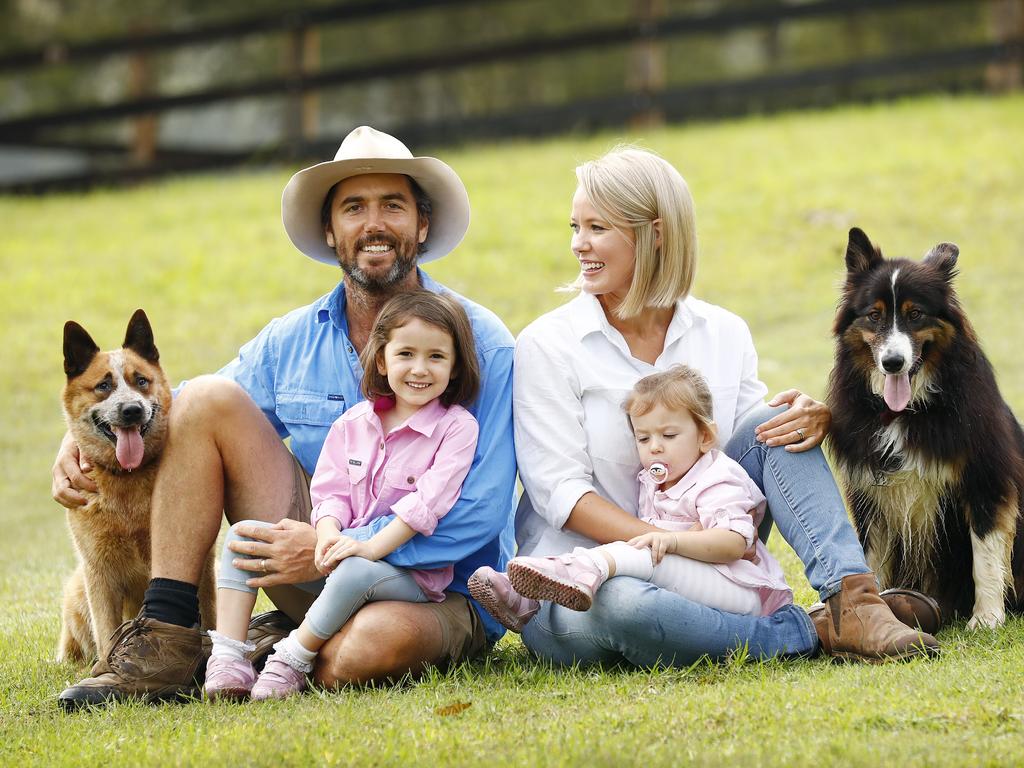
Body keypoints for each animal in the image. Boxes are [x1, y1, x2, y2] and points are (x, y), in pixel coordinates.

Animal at [56, 309, 214, 663]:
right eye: (103, 386)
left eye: (141, 380)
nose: (132, 410)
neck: (125, 479)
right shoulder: (99, 572)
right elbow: (106, 633)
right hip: (77, 589)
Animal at [827, 228, 1024, 630]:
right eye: (874, 315)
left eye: (915, 314)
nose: (892, 362)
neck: (907, 411)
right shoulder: (870, 488)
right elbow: (870, 557)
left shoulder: (985, 477)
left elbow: (985, 553)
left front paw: (987, 617)